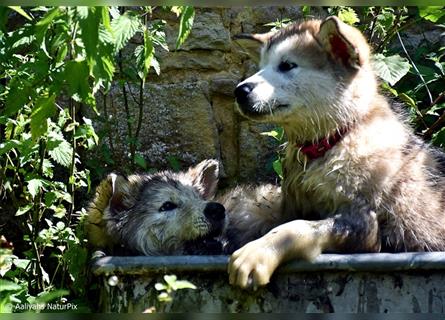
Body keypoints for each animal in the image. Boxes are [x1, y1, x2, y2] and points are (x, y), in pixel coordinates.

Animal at [229, 16, 444, 288]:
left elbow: (299, 227)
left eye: (287, 65)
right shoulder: (291, 206)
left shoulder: (365, 226)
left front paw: (259, 251)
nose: (239, 90)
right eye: (262, 66)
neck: (332, 142)